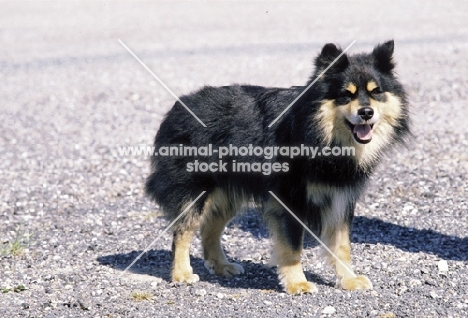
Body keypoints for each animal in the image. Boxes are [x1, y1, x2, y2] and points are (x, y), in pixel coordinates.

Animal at [145, 41, 410, 294]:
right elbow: (292, 247)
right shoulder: (288, 199)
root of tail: (177, 107)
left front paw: (349, 279)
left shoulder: (341, 198)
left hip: (227, 192)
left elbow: (342, 245)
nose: (366, 112)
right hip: (197, 189)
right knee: (183, 231)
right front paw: (297, 284)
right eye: (346, 94)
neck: (319, 134)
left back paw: (221, 265)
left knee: (210, 227)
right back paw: (182, 273)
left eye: (376, 93)